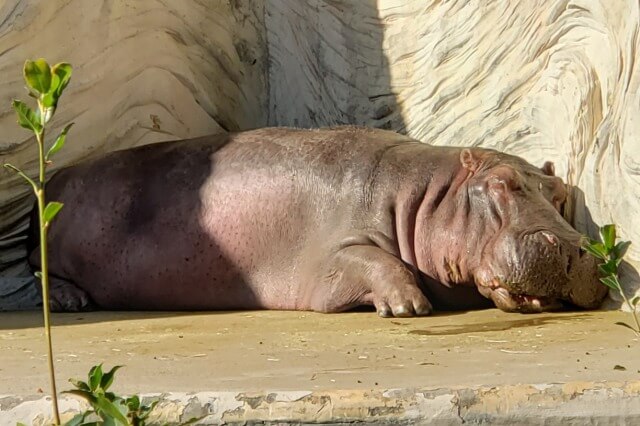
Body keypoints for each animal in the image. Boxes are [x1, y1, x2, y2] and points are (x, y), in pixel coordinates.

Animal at [27, 126, 608, 316]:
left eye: (559, 192)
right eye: (502, 184)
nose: (573, 249)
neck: (428, 196)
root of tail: (53, 177)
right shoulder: (332, 257)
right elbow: (376, 260)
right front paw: (409, 307)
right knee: (40, 274)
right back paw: (72, 303)